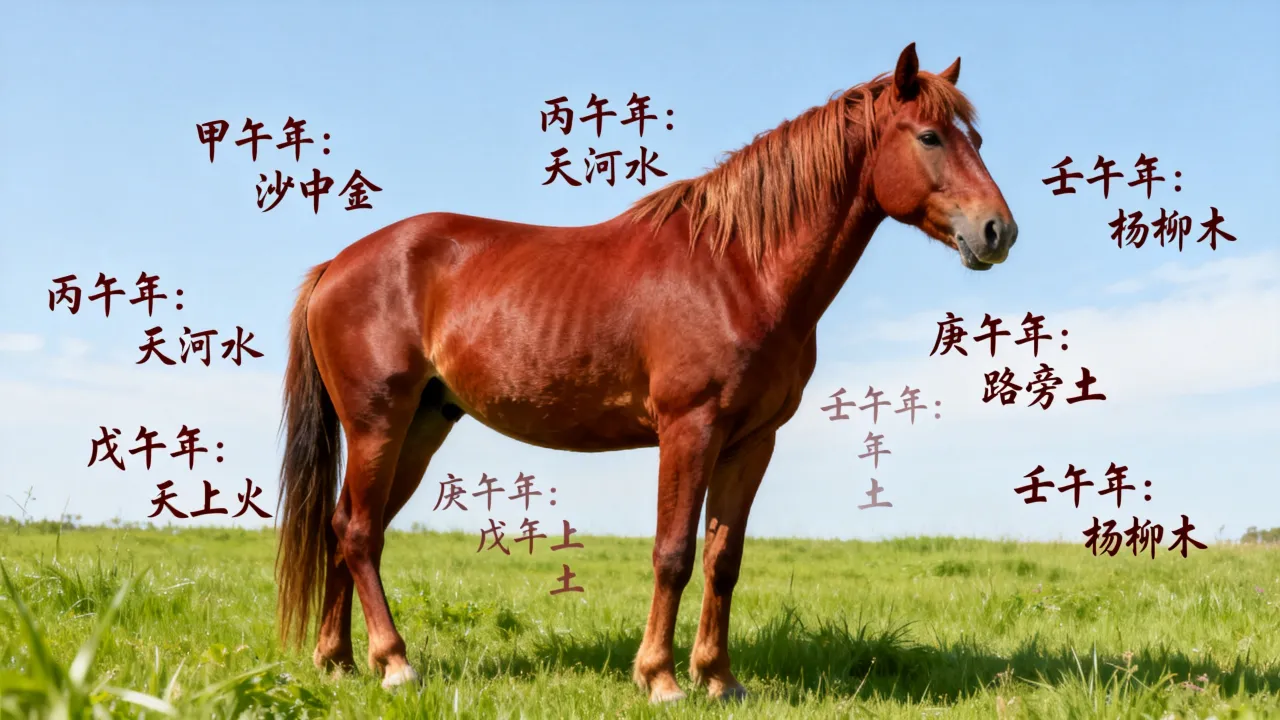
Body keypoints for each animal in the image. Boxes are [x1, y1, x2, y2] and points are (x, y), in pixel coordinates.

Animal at [274, 42, 1017, 703]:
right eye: (930, 136)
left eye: (979, 137)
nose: (998, 232)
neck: (738, 268)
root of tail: (336, 266)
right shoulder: (690, 428)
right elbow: (674, 553)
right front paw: (659, 678)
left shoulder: (752, 441)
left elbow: (723, 560)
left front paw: (719, 678)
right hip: (378, 422)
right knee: (359, 533)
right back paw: (395, 663)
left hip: (423, 425)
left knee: (346, 528)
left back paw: (339, 663)